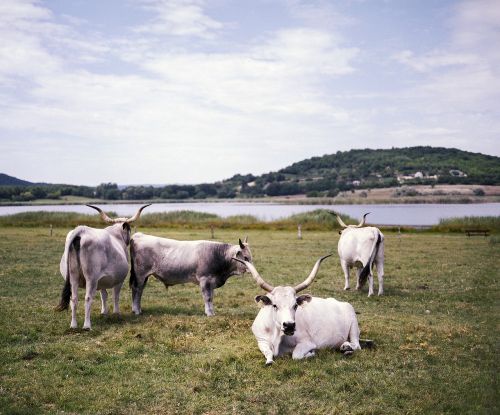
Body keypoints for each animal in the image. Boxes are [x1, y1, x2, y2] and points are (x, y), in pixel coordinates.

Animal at [234, 255, 368, 366]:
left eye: (295, 305)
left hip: (354, 326)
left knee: (356, 345)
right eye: (275, 305)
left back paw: (347, 348)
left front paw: (311, 354)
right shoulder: (261, 341)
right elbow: (268, 353)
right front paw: (269, 361)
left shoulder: (307, 342)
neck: (277, 335)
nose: (289, 325)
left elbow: (296, 355)